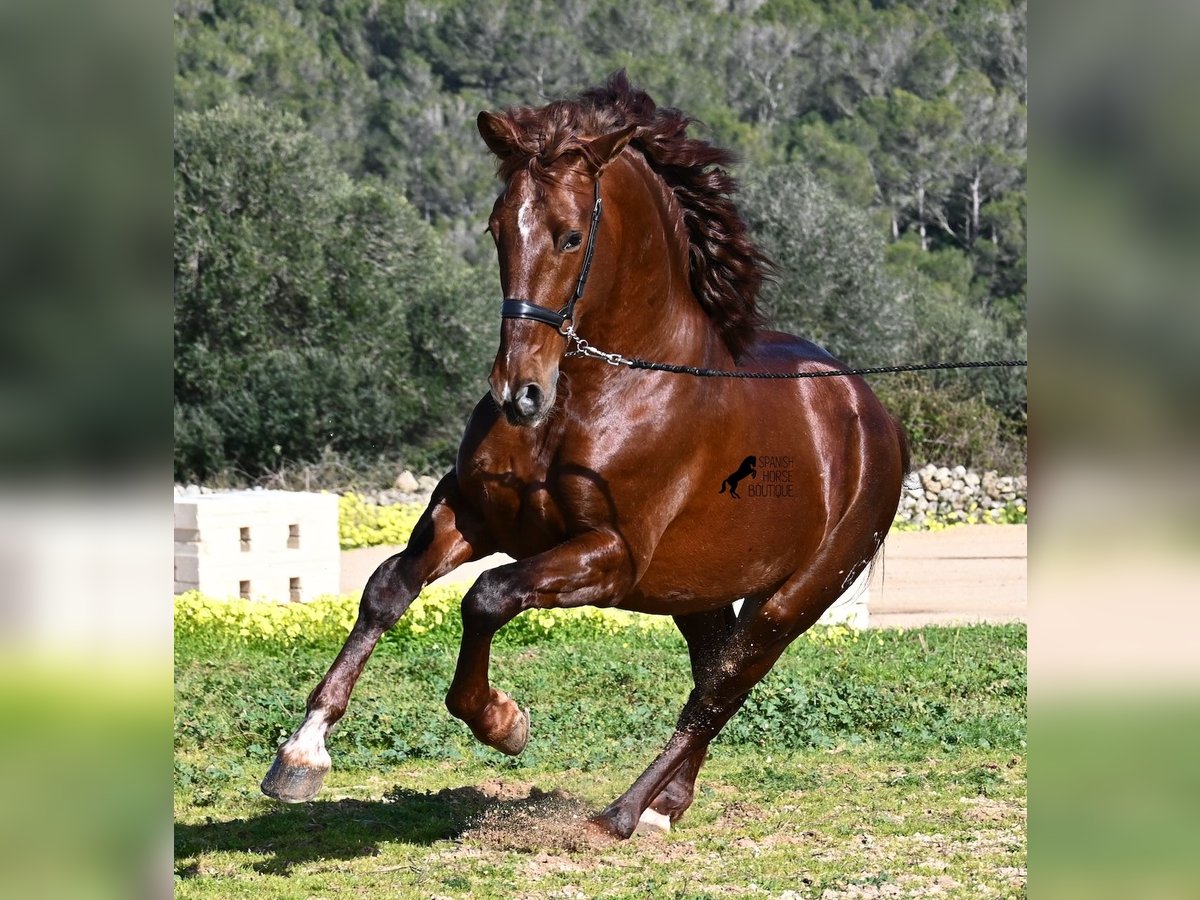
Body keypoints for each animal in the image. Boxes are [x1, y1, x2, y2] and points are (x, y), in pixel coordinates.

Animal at [262, 72, 910, 840]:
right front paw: (301, 754)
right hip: (695, 591)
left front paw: (503, 722)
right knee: (712, 671)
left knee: (723, 687)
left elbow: (487, 596)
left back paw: (626, 812)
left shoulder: (609, 555)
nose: (520, 392)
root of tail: (874, 416)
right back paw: (667, 804)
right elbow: (387, 589)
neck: (597, 393)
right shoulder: (472, 514)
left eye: (571, 236)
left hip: (794, 598)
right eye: (497, 229)